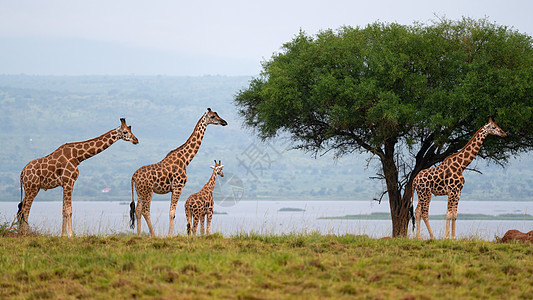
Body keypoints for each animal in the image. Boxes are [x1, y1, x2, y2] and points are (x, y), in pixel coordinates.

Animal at [131, 108, 229, 237]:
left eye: (217, 114)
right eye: (212, 116)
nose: (224, 122)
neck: (185, 160)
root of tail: (134, 176)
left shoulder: (174, 189)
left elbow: (172, 213)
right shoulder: (178, 187)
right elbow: (172, 213)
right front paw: (169, 236)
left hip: (140, 192)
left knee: (137, 211)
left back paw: (138, 235)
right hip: (148, 191)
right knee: (145, 211)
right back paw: (153, 235)